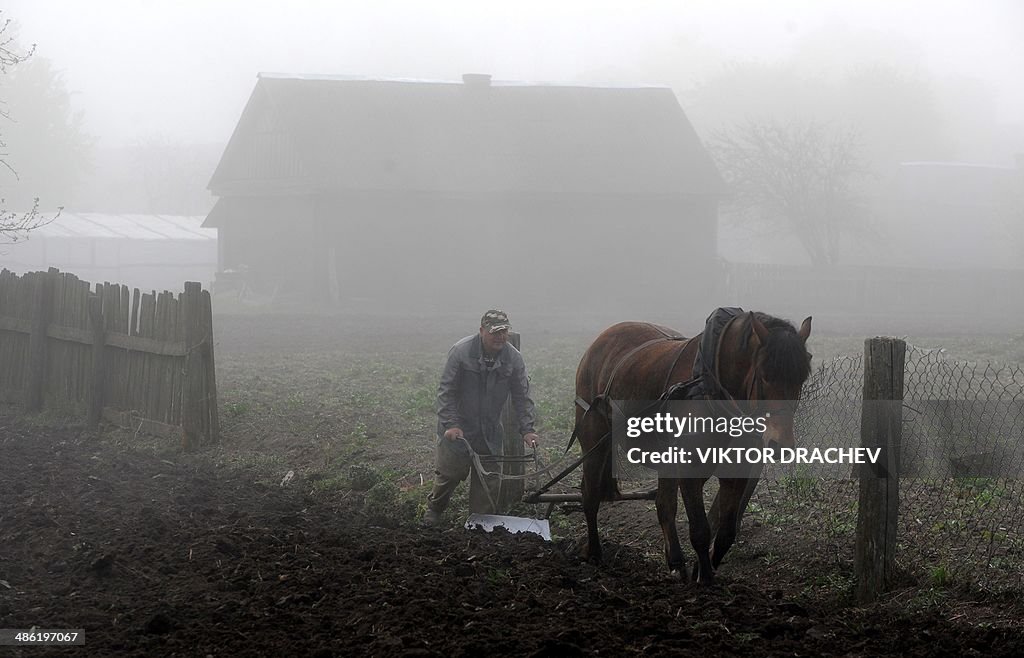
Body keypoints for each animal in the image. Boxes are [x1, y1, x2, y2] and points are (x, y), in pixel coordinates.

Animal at [577, 311, 806, 585]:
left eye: (801, 377)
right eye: (764, 375)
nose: (780, 444)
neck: (712, 388)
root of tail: (600, 341)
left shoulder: (737, 472)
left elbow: (726, 532)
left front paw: (700, 569)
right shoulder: (689, 470)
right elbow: (700, 530)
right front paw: (705, 580)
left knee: (664, 505)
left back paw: (675, 562)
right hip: (593, 436)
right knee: (590, 495)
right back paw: (594, 552)